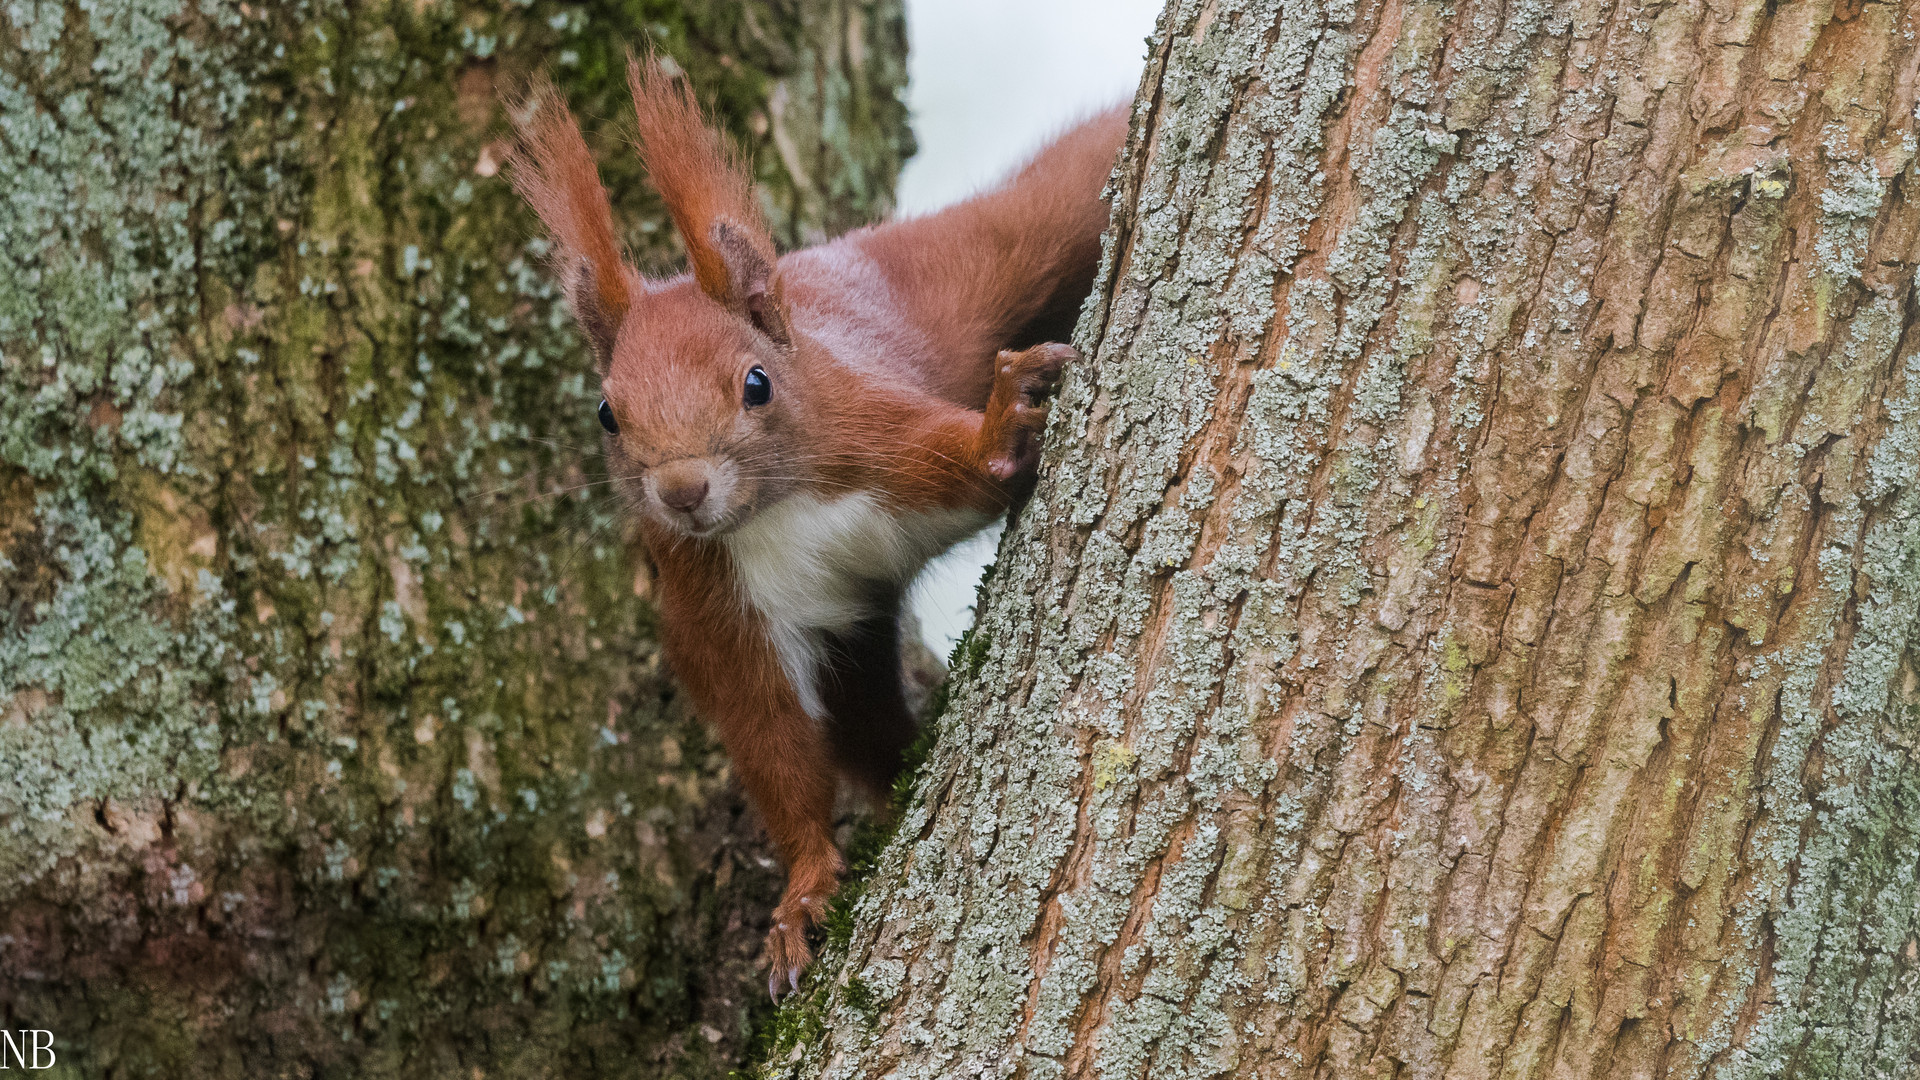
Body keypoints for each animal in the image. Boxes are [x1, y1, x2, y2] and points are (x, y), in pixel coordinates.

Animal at [510, 54, 1121, 991]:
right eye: (608, 415)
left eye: (757, 384)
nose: (682, 491)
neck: (778, 512)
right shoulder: (714, 609)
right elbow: (775, 745)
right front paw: (802, 894)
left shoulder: (877, 439)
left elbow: (961, 460)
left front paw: (1002, 423)